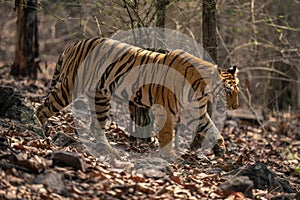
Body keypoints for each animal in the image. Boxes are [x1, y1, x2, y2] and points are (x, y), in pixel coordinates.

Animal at [35, 36, 239, 160]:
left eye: (237, 91)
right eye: (228, 92)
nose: (236, 107)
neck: (202, 89)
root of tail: (73, 44)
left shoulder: (194, 112)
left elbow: (211, 128)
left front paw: (220, 147)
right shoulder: (166, 110)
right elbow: (167, 134)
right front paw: (169, 156)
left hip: (101, 97)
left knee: (96, 126)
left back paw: (109, 150)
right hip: (69, 88)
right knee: (42, 108)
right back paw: (39, 132)